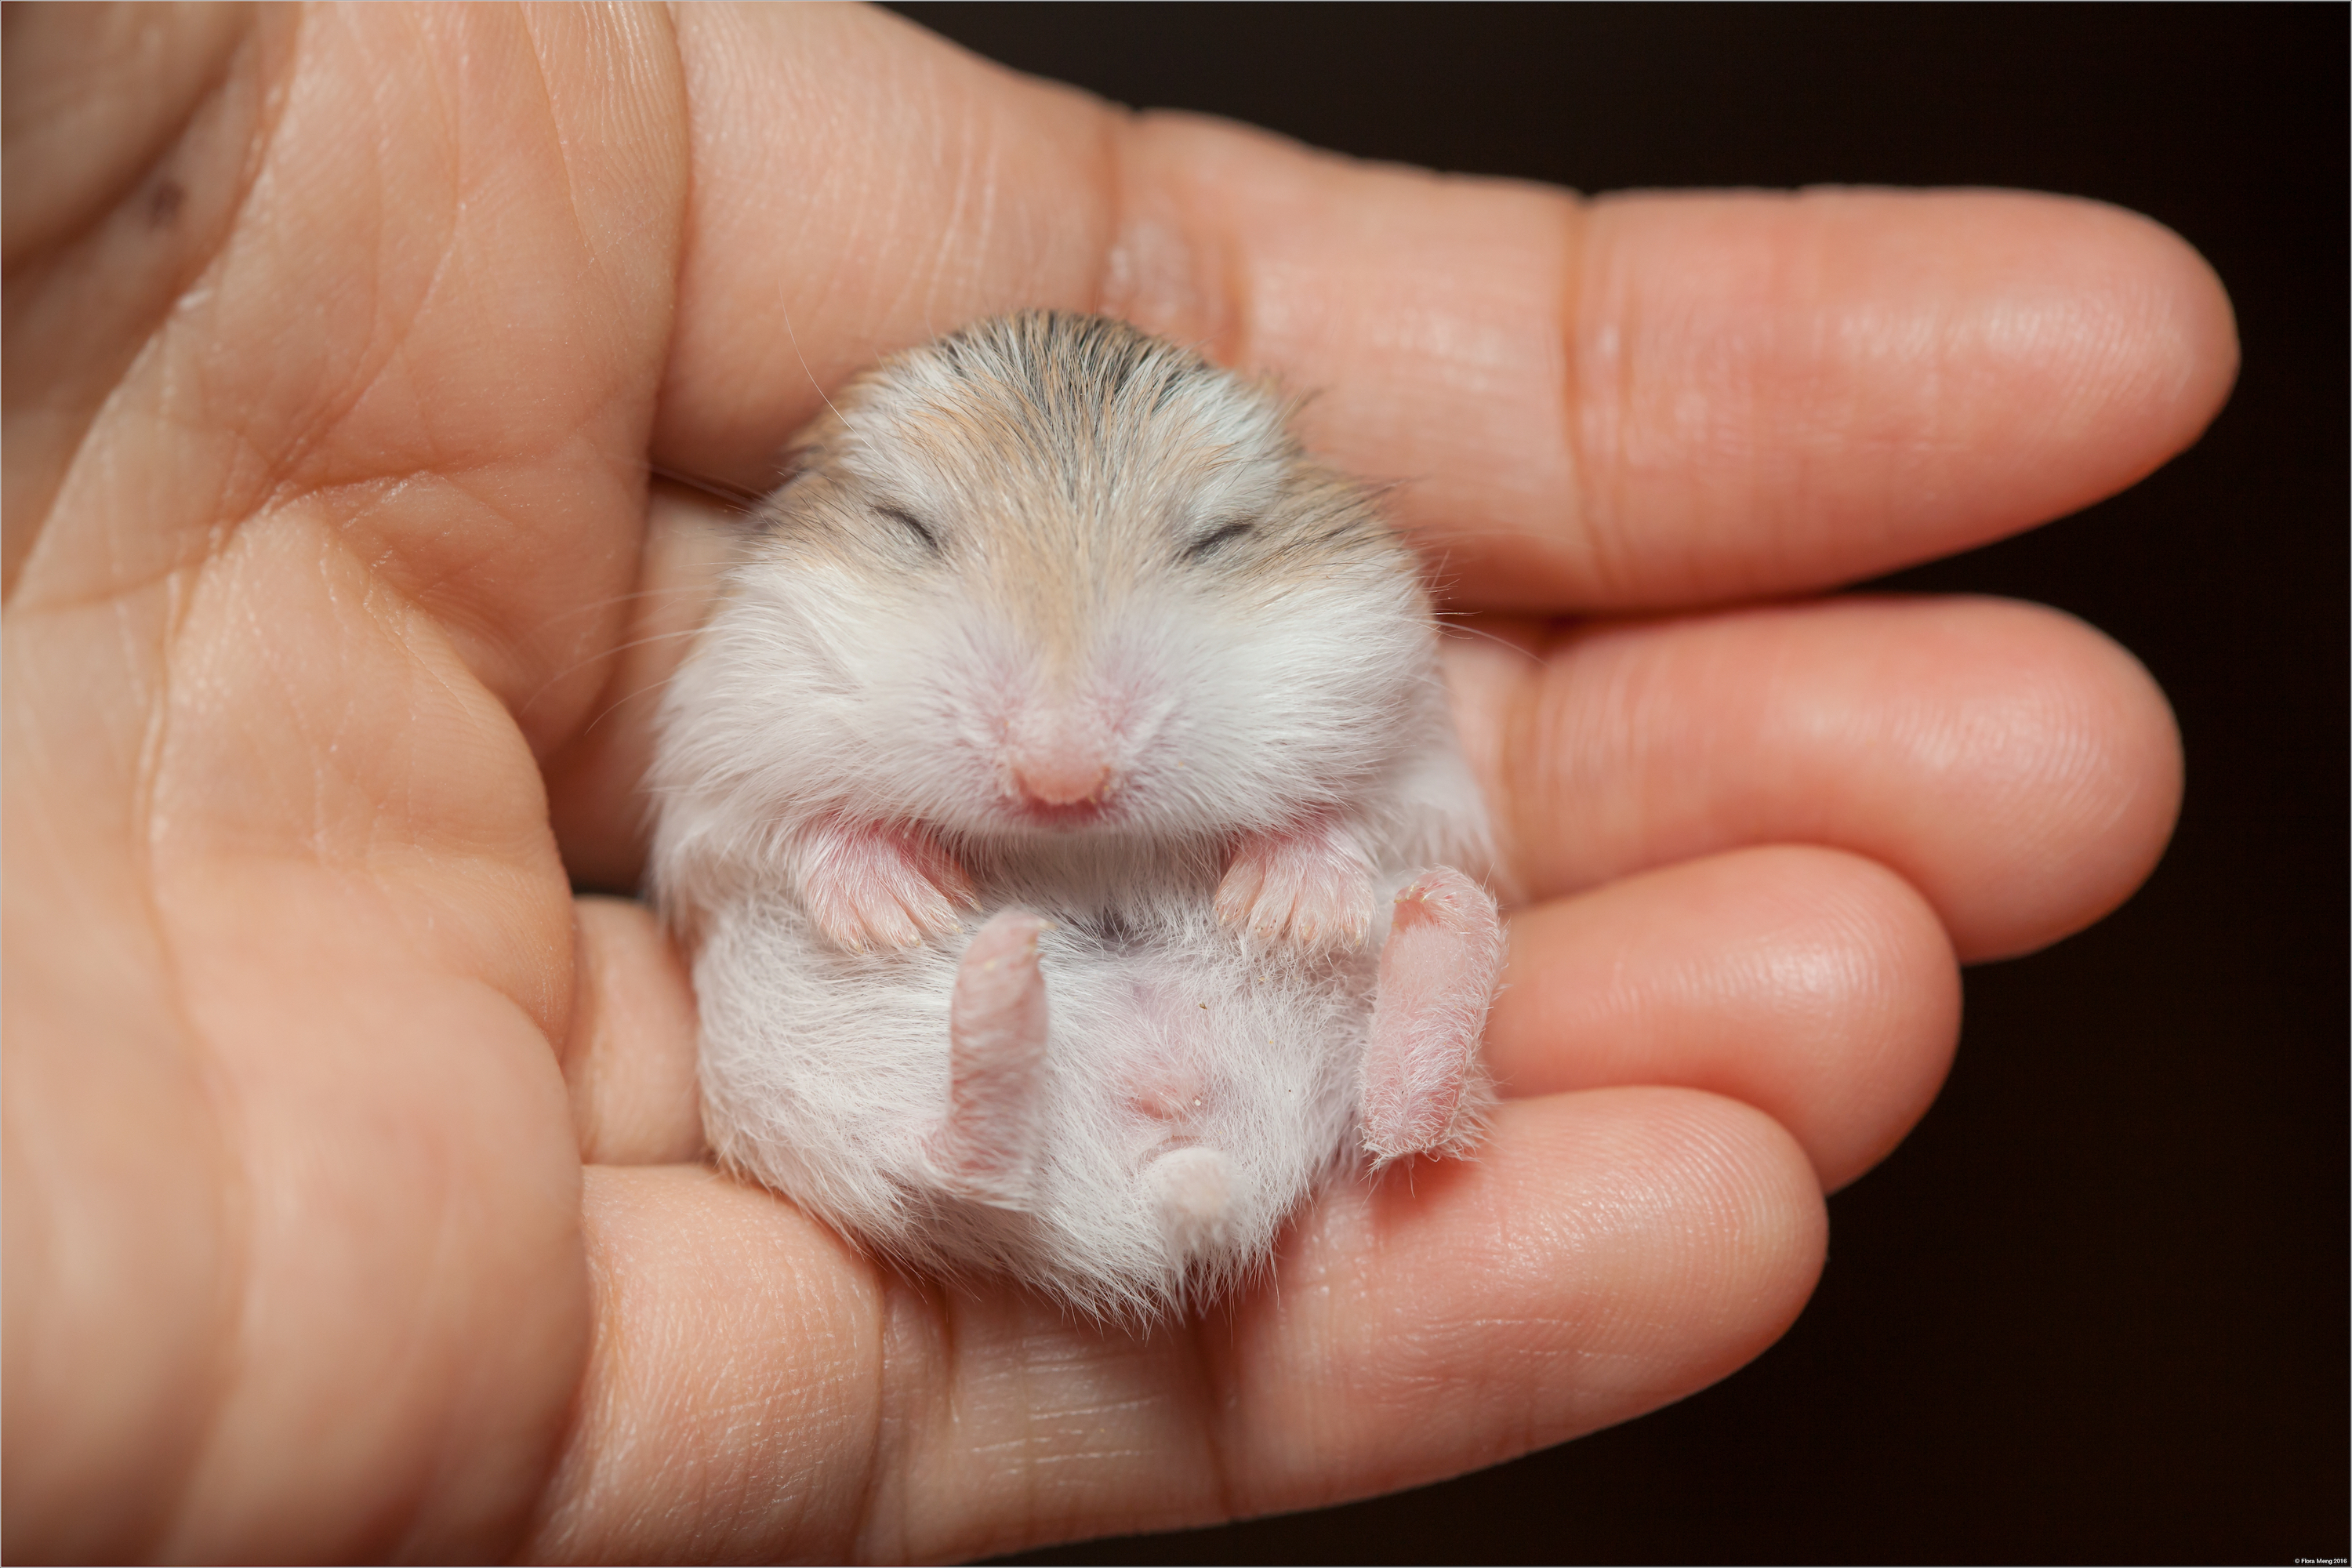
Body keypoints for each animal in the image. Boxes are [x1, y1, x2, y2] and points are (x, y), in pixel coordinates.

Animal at [659, 312, 1505, 1316]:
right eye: (907, 525)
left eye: (1222, 536)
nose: (1060, 778)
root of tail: (1184, 1185)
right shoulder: (718, 765)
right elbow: (801, 826)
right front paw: (903, 911)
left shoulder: (1417, 748)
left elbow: (1354, 811)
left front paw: (1286, 906)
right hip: (799, 1108)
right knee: (951, 1165)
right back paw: (1001, 980)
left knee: (1404, 1111)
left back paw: (1443, 921)